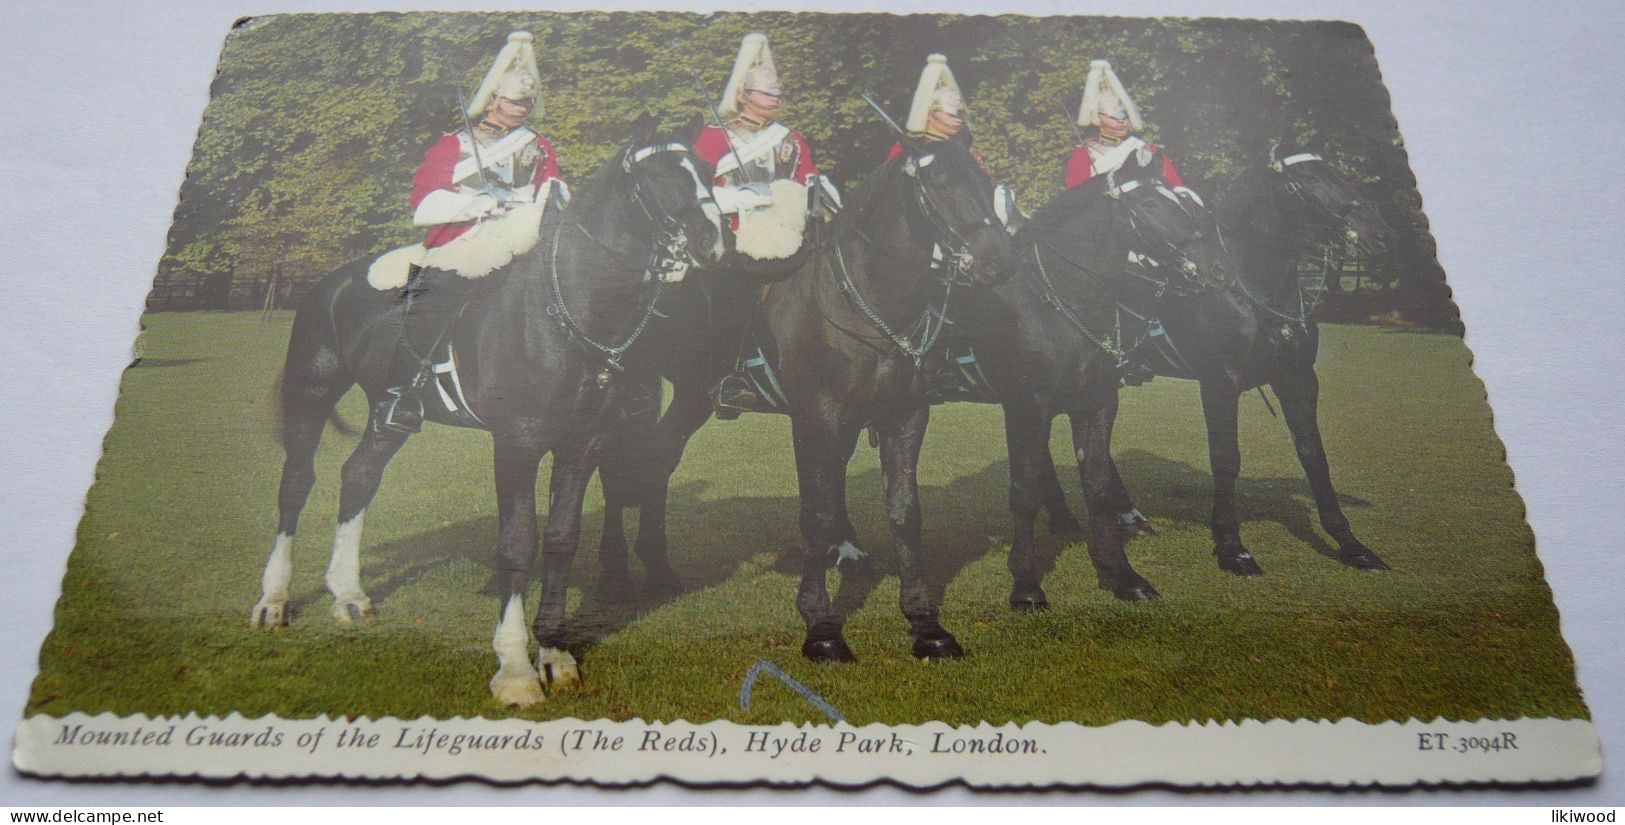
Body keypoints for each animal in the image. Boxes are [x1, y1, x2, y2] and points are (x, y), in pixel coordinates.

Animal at [248, 114, 724, 708]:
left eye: (704, 168)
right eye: (658, 177)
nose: (714, 240)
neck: (570, 307)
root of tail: (330, 283)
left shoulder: (581, 445)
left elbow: (561, 539)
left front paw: (556, 655)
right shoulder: (517, 444)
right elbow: (517, 544)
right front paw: (516, 669)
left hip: (387, 413)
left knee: (358, 476)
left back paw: (349, 594)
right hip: (311, 395)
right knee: (295, 485)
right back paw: (272, 601)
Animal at [594, 137, 1014, 662]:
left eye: (983, 181)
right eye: (940, 184)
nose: (999, 260)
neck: (863, 296)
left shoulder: (904, 414)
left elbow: (903, 512)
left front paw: (925, 622)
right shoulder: (817, 416)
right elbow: (816, 513)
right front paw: (820, 626)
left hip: (690, 396)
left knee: (657, 462)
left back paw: (660, 570)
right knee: (615, 467)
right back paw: (613, 577)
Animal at [968, 151, 1235, 610]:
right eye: (1150, 204)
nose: (1218, 268)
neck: (1058, 303)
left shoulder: (1095, 404)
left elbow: (1096, 485)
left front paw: (1121, 573)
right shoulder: (1025, 407)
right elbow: (1023, 492)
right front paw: (1026, 583)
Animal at [1033, 145, 1404, 578]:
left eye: (1336, 172)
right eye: (1311, 179)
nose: (1382, 234)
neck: (1253, 285)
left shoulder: (1297, 378)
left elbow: (1314, 454)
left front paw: (1351, 545)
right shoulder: (1220, 383)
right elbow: (1226, 459)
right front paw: (1232, 547)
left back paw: (1125, 515)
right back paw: (1070, 516)